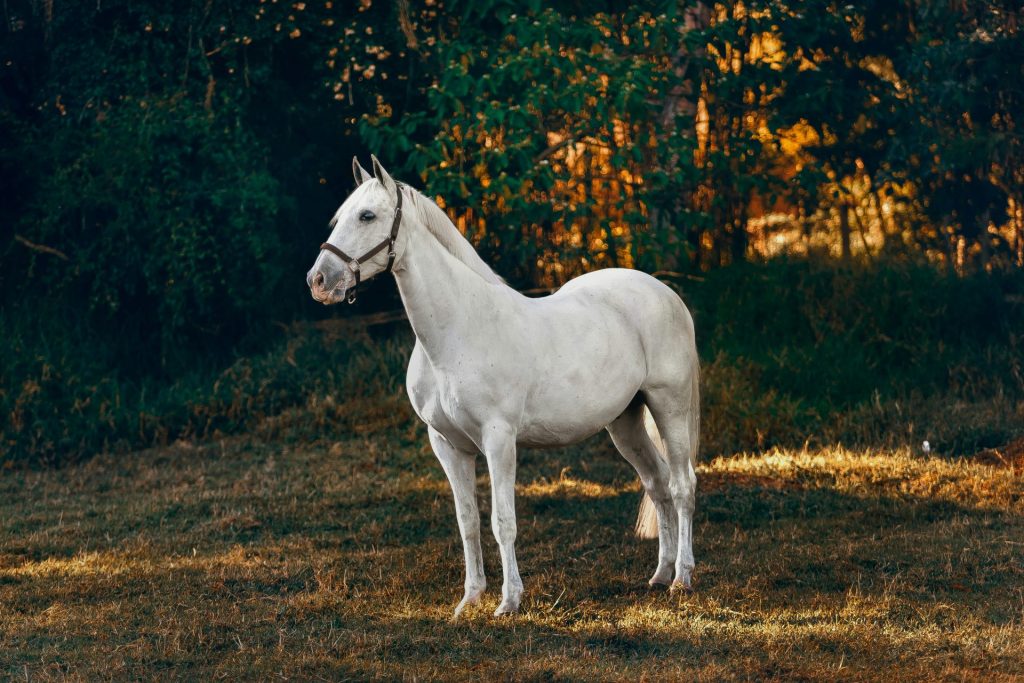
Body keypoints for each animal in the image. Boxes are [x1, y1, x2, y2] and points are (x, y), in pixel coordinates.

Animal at [307, 156, 700, 618]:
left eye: (367, 216)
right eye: (339, 218)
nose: (318, 281)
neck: (458, 330)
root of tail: (666, 293)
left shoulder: (499, 439)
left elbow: (502, 522)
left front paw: (509, 601)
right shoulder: (447, 445)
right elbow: (468, 523)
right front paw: (470, 599)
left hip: (668, 406)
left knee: (682, 485)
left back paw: (682, 578)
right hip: (625, 422)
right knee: (657, 484)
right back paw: (659, 575)